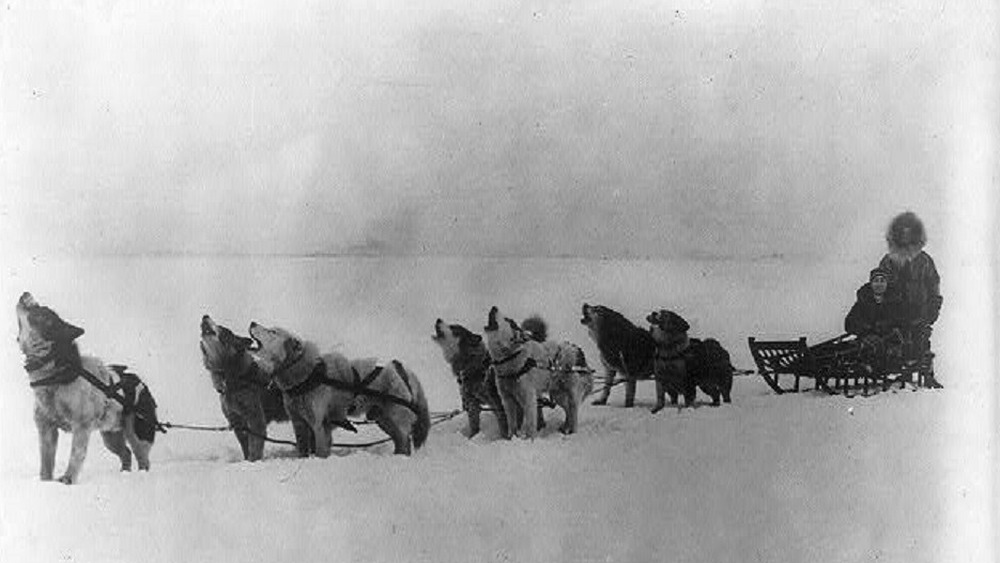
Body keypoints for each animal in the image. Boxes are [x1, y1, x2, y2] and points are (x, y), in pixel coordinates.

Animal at [14, 294, 158, 482]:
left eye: (41, 311)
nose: (25, 293)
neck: (55, 375)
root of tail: (140, 382)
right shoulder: (46, 430)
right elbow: (46, 463)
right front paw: (45, 482)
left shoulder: (81, 427)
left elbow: (75, 456)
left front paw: (67, 480)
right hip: (111, 437)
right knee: (126, 453)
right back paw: (124, 474)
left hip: (137, 435)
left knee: (143, 459)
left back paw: (140, 476)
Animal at [199, 316, 292, 460]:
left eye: (223, 329)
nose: (205, 315)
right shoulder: (237, 423)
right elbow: (246, 447)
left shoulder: (255, 419)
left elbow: (254, 447)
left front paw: (253, 462)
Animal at [248, 322, 432, 458]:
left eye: (272, 331)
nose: (253, 322)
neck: (305, 374)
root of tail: (400, 368)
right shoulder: (299, 423)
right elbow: (303, 451)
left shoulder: (318, 425)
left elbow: (321, 451)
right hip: (383, 419)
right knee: (400, 441)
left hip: (395, 416)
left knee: (404, 441)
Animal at [484, 306, 592, 438]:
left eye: (507, 320)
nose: (494, 307)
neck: (512, 358)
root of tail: (577, 351)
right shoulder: (508, 400)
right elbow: (512, 425)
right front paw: (512, 438)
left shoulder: (529, 399)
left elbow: (530, 425)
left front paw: (529, 439)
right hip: (557, 394)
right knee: (568, 411)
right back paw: (566, 428)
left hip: (571, 394)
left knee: (573, 412)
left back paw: (573, 432)